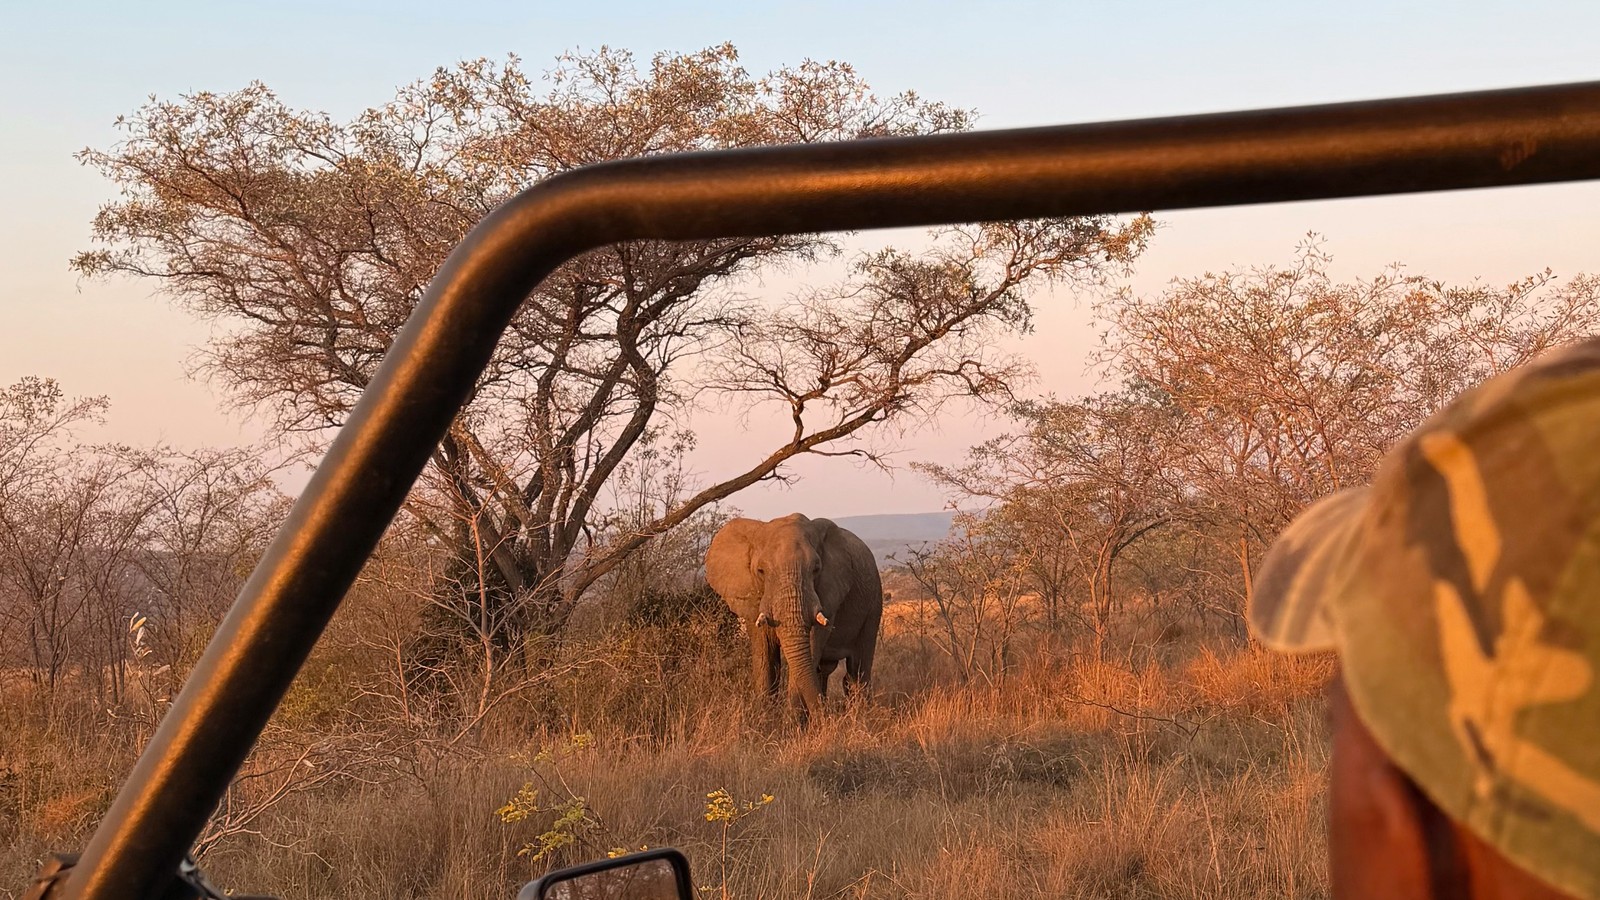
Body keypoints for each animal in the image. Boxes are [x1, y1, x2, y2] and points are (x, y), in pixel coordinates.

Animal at [704, 513, 883, 719]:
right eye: (761, 571)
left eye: (816, 569)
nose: (827, 716)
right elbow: (764, 655)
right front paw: (766, 719)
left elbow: (811, 647)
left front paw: (793, 723)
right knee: (826, 671)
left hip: (873, 603)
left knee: (858, 669)